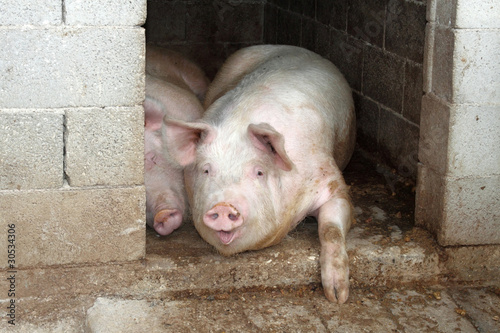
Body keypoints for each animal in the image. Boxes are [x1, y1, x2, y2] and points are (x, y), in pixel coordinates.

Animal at [164, 45, 356, 302]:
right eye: (205, 169)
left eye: (259, 172)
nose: (223, 206)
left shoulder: (330, 179)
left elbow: (331, 229)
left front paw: (337, 296)